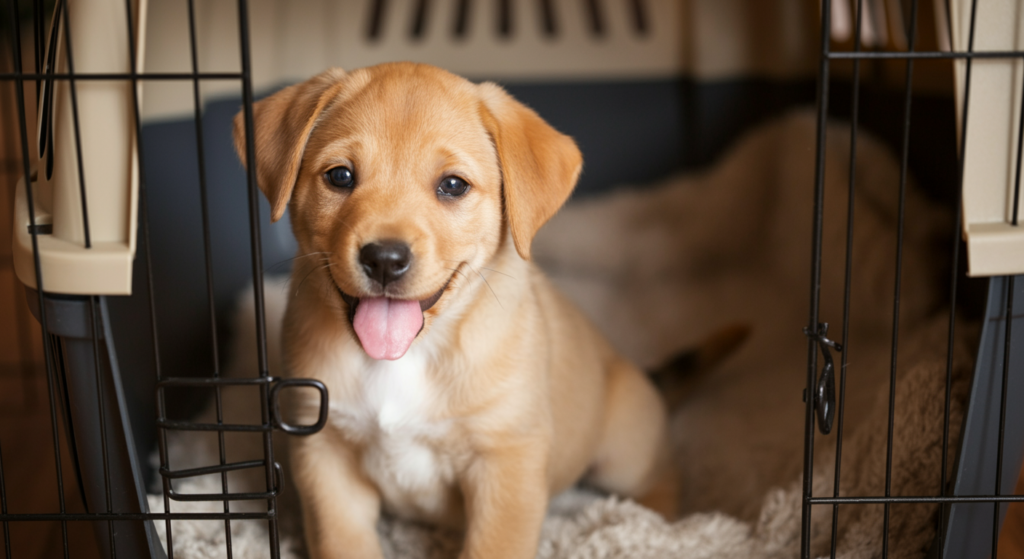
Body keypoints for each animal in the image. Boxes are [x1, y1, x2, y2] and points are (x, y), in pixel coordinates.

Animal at [235, 62, 675, 556]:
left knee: (660, 478)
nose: (384, 259)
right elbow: (342, 542)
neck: (406, 358)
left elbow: (494, 546)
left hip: (626, 447)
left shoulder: (506, 461)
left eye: (452, 186)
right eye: (340, 176)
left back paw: (658, 523)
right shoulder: (325, 455)